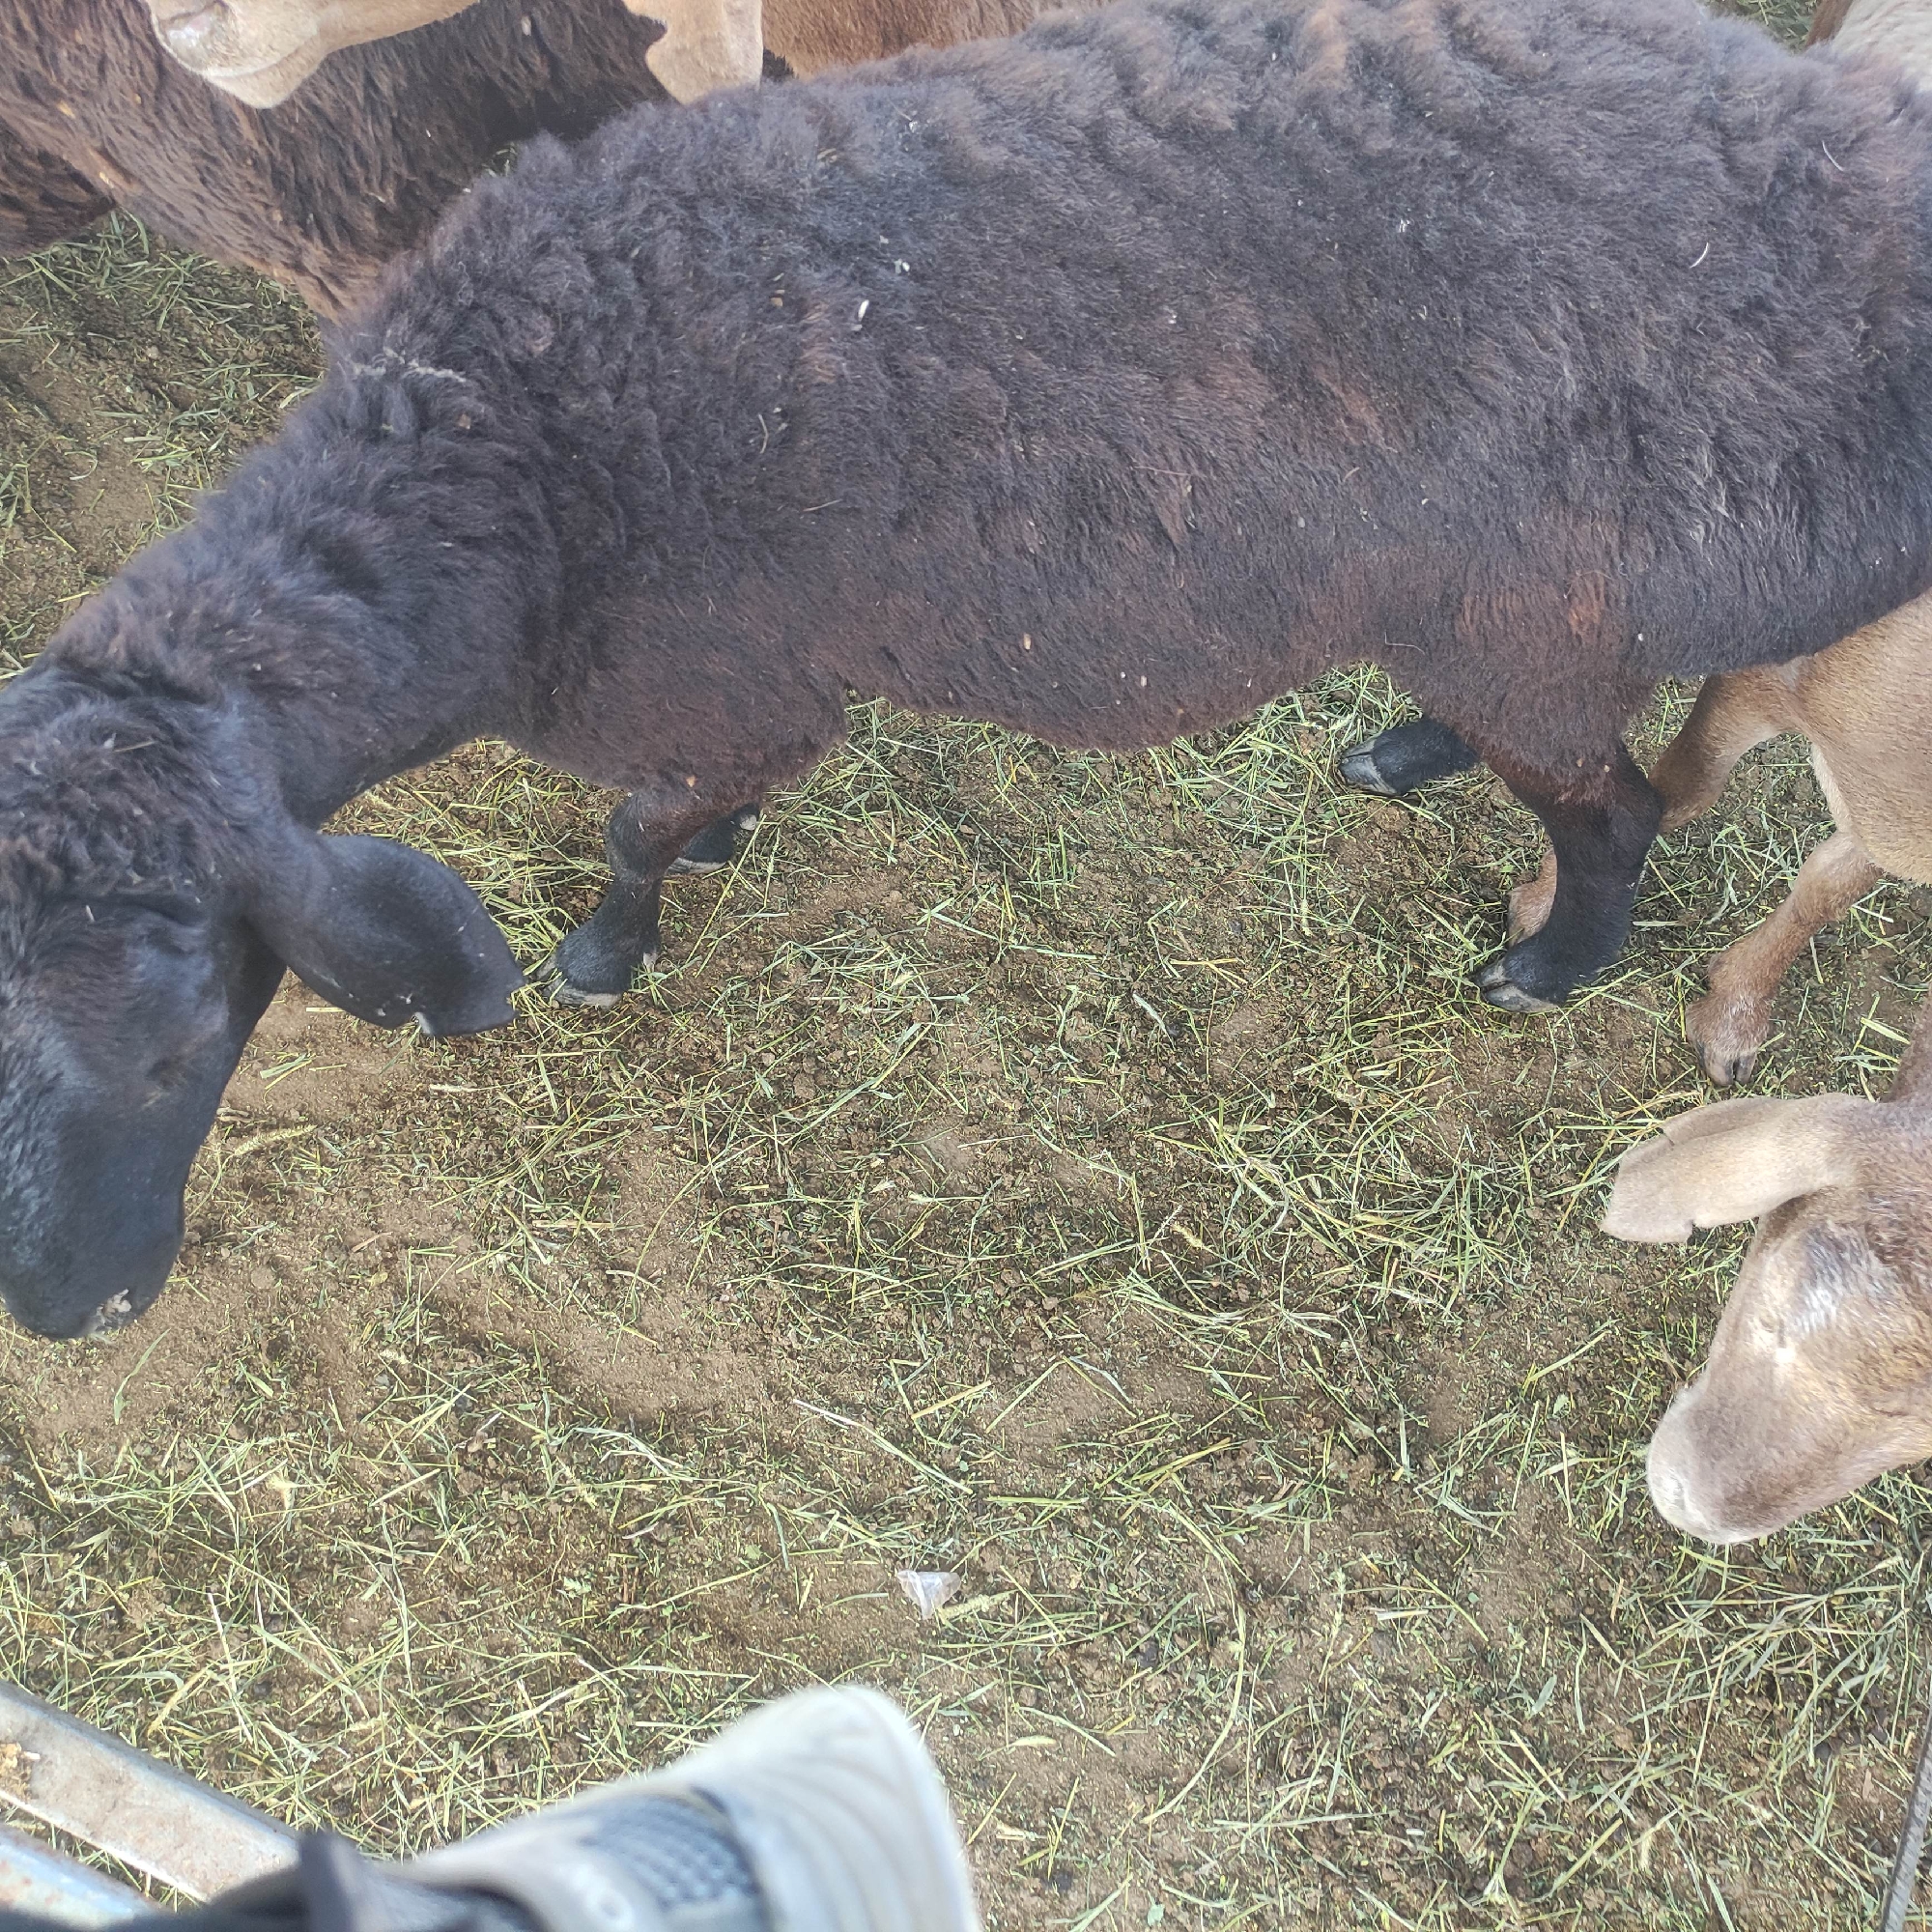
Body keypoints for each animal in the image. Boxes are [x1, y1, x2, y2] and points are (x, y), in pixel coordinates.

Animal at [7, 0, 1932, 1338]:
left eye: (184, 1047)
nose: (75, 1314)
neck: (502, 465)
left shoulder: (734, 685)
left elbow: (635, 833)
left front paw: (611, 952)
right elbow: (683, 814)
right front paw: (703, 864)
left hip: (1534, 608)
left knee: (1615, 810)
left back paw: (1550, 963)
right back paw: (1407, 754)